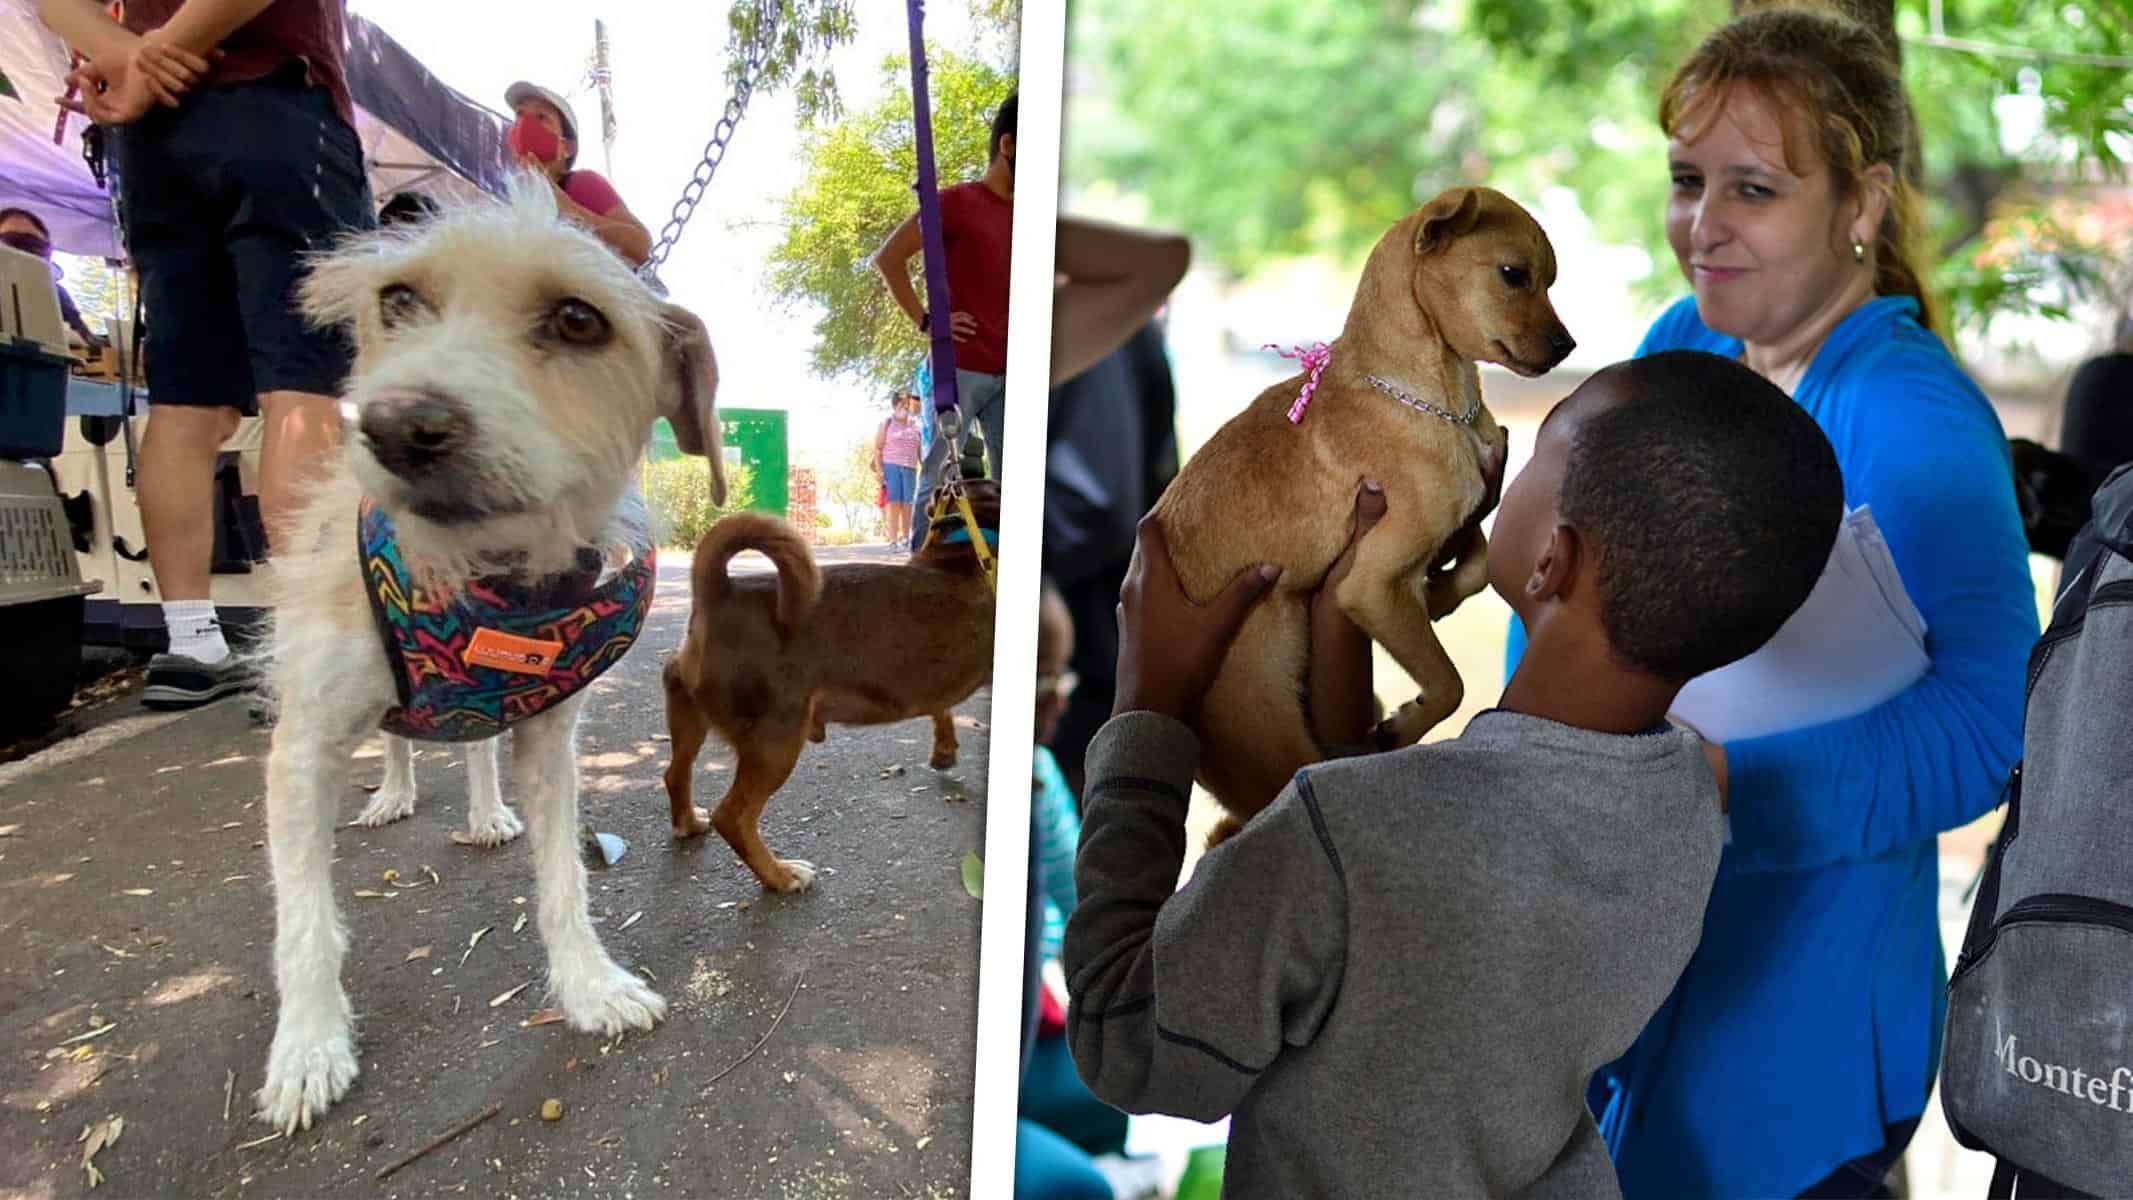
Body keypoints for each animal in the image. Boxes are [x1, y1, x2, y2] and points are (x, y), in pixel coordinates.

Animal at [252, 173, 725, 1133]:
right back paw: (393, 792)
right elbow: (305, 923)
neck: (482, 576)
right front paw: (309, 1047)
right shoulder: (303, 746)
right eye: (398, 300)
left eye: (579, 320)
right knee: (396, 738)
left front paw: (588, 987)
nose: (396, 427)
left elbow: (563, 883)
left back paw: (482, 809)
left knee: (470, 744)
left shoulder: (548, 738)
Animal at [661, 479, 1002, 890]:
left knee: (675, 773)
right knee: (733, 816)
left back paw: (689, 823)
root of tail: (720, 590)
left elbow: (942, 709)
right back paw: (781, 875)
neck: (962, 548)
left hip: (689, 715)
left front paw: (945, 750)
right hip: (777, 740)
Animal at [1160, 189, 1578, 844]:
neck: (1435, 399)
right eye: (1514, 275)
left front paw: (1435, 598)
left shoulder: (1458, 522)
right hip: (1273, 730)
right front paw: (1409, 722)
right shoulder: (1370, 580)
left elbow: (1479, 564)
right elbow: (1449, 682)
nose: (1568, 346)